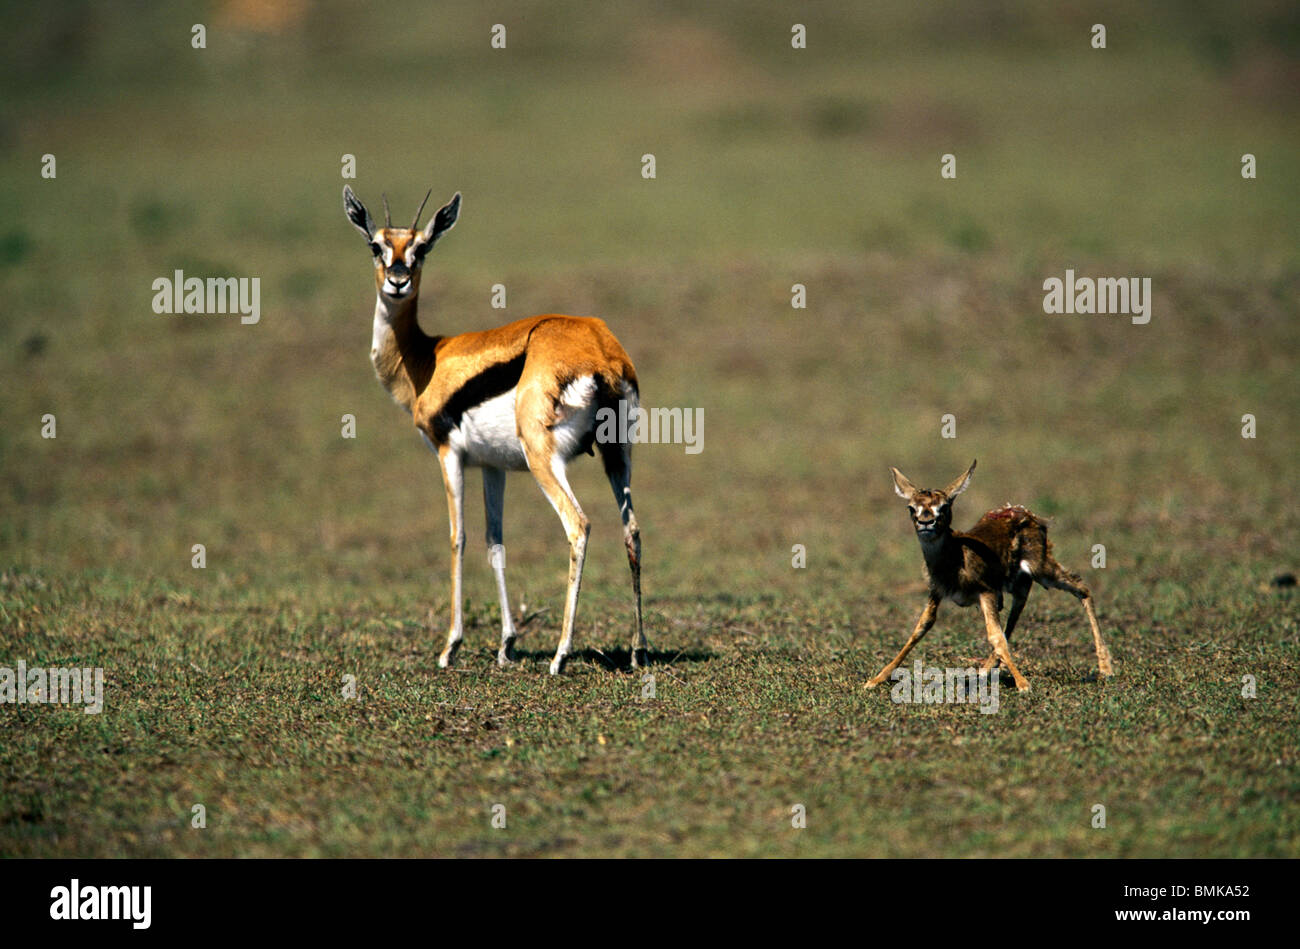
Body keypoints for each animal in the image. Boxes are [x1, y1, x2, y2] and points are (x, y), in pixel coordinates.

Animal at [342, 186, 646, 675]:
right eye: (377, 245)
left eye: (422, 248)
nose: (398, 280)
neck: (426, 359)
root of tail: (599, 353)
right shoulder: (492, 466)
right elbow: (495, 542)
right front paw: (506, 644)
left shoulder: (449, 453)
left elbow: (458, 538)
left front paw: (450, 647)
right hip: (618, 456)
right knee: (632, 530)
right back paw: (638, 650)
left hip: (545, 460)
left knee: (578, 525)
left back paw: (560, 655)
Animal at [865, 460, 1113, 692]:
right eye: (911, 507)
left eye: (944, 506)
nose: (926, 522)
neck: (955, 558)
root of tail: (1030, 514)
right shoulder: (936, 592)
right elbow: (920, 627)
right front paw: (876, 679)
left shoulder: (986, 592)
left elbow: (994, 635)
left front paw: (1023, 684)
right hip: (1020, 580)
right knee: (1019, 607)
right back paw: (984, 670)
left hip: (1041, 569)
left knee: (1081, 588)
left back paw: (1106, 669)